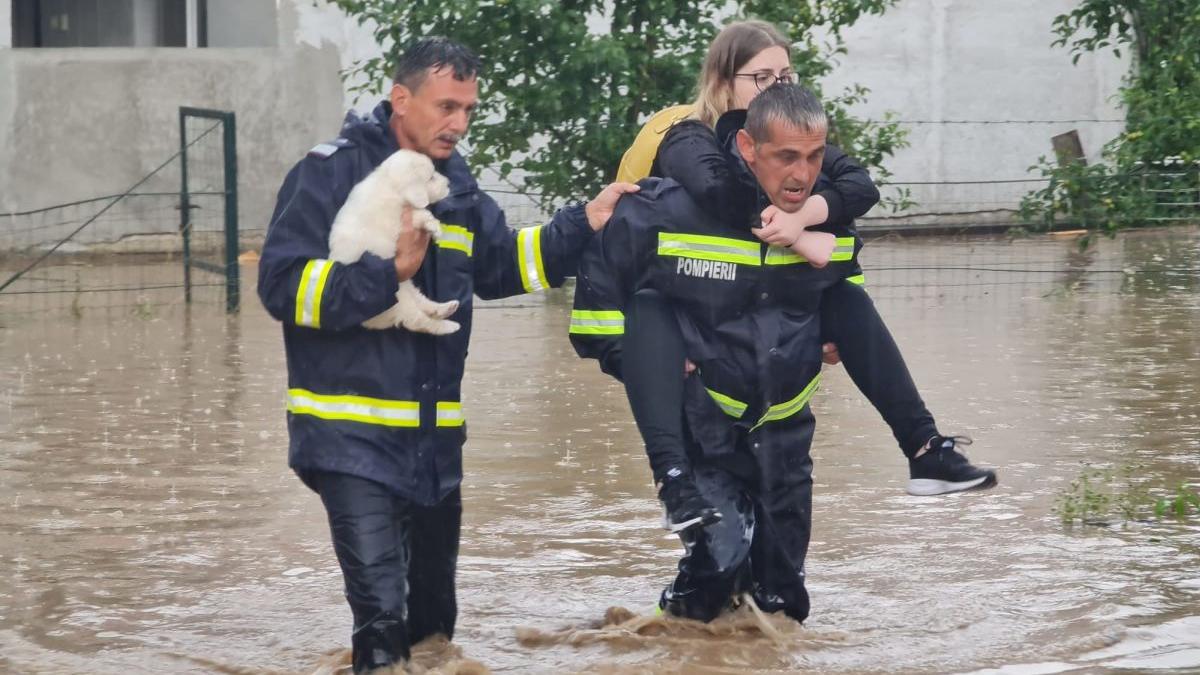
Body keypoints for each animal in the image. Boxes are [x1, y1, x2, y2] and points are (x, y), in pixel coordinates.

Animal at [328, 149, 458, 333]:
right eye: (431, 177)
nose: (448, 183)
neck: (388, 182)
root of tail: (368, 322)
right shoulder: (399, 219)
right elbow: (421, 214)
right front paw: (434, 227)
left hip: (405, 285)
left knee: (420, 300)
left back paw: (444, 308)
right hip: (397, 299)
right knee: (417, 320)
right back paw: (449, 325)